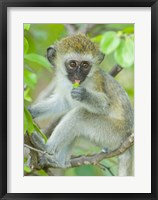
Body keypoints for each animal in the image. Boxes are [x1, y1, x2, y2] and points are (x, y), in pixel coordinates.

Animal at [28, 33, 133, 176]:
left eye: (85, 65)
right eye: (72, 64)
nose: (78, 74)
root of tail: (128, 134)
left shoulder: (96, 81)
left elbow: (105, 104)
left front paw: (84, 95)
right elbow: (63, 102)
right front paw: (31, 111)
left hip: (113, 134)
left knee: (80, 114)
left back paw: (47, 148)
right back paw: (59, 161)